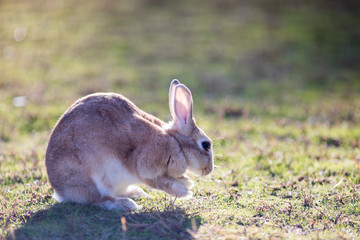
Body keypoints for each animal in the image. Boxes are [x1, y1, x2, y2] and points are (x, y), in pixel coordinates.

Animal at [45, 79, 214, 210]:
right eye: (206, 145)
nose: (209, 170)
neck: (176, 142)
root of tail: (60, 191)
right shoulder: (144, 165)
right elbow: (159, 182)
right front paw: (184, 190)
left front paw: (186, 181)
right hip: (93, 178)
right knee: (97, 200)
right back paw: (126, 204)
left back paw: (136, 192)